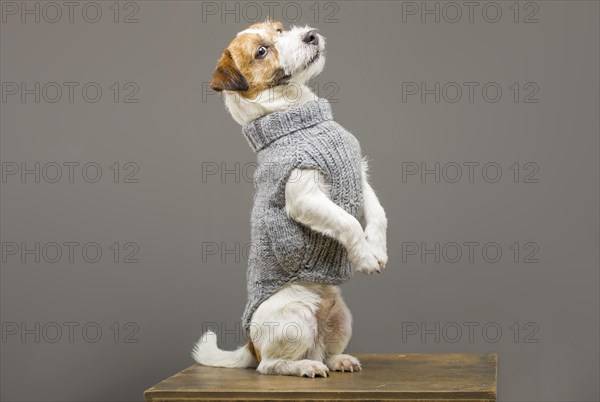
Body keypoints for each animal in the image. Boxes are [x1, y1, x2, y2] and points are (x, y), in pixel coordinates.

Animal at [193, 19, 390, 376]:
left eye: (280, 29)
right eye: (261, 51)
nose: (310, 36)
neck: (295, 115)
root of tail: (251, 345)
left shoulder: (359, 173)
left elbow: (377, 214)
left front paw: (377, 249)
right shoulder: (304, 198)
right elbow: (348, 222)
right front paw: (365, 257)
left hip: (342, 317)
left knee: (324, 351)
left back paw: (337, 360)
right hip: (294, 318)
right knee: (270, 366)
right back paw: (302, 367)